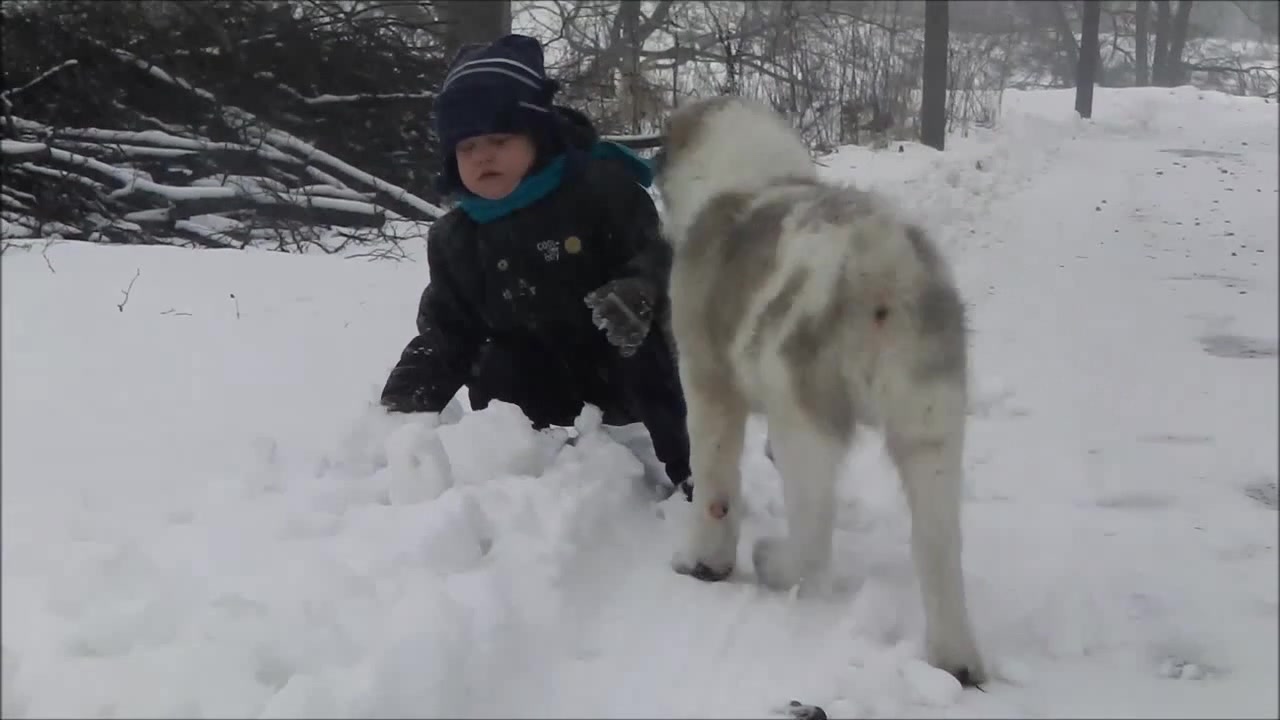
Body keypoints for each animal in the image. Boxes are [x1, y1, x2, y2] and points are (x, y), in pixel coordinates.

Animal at [650, 95, 988, 681]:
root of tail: (881, 262)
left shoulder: (707, 380)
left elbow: (714, 480)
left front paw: (704, 563)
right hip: (931, 419)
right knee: (938, 543)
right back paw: (957, 660)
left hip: (803, 414)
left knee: (812, 536)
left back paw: (771, 560)